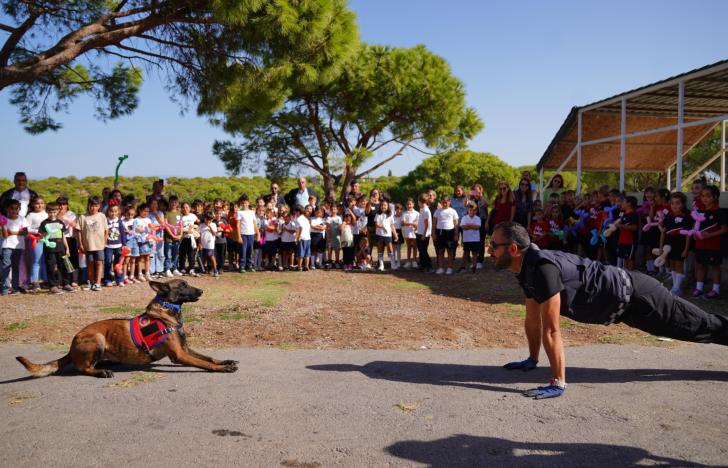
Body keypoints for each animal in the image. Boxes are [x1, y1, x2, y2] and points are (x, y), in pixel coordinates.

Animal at [15, 280, 239, 378]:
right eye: (183, 285)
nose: (201, 290)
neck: (167, 312)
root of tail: (70, 347)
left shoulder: (185, 349)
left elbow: (209, 357)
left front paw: (225, 361)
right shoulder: (179, 355)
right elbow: (205, 364)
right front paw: (223, 368)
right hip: (97, 338)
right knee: (83, 368)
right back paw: (101, 371)